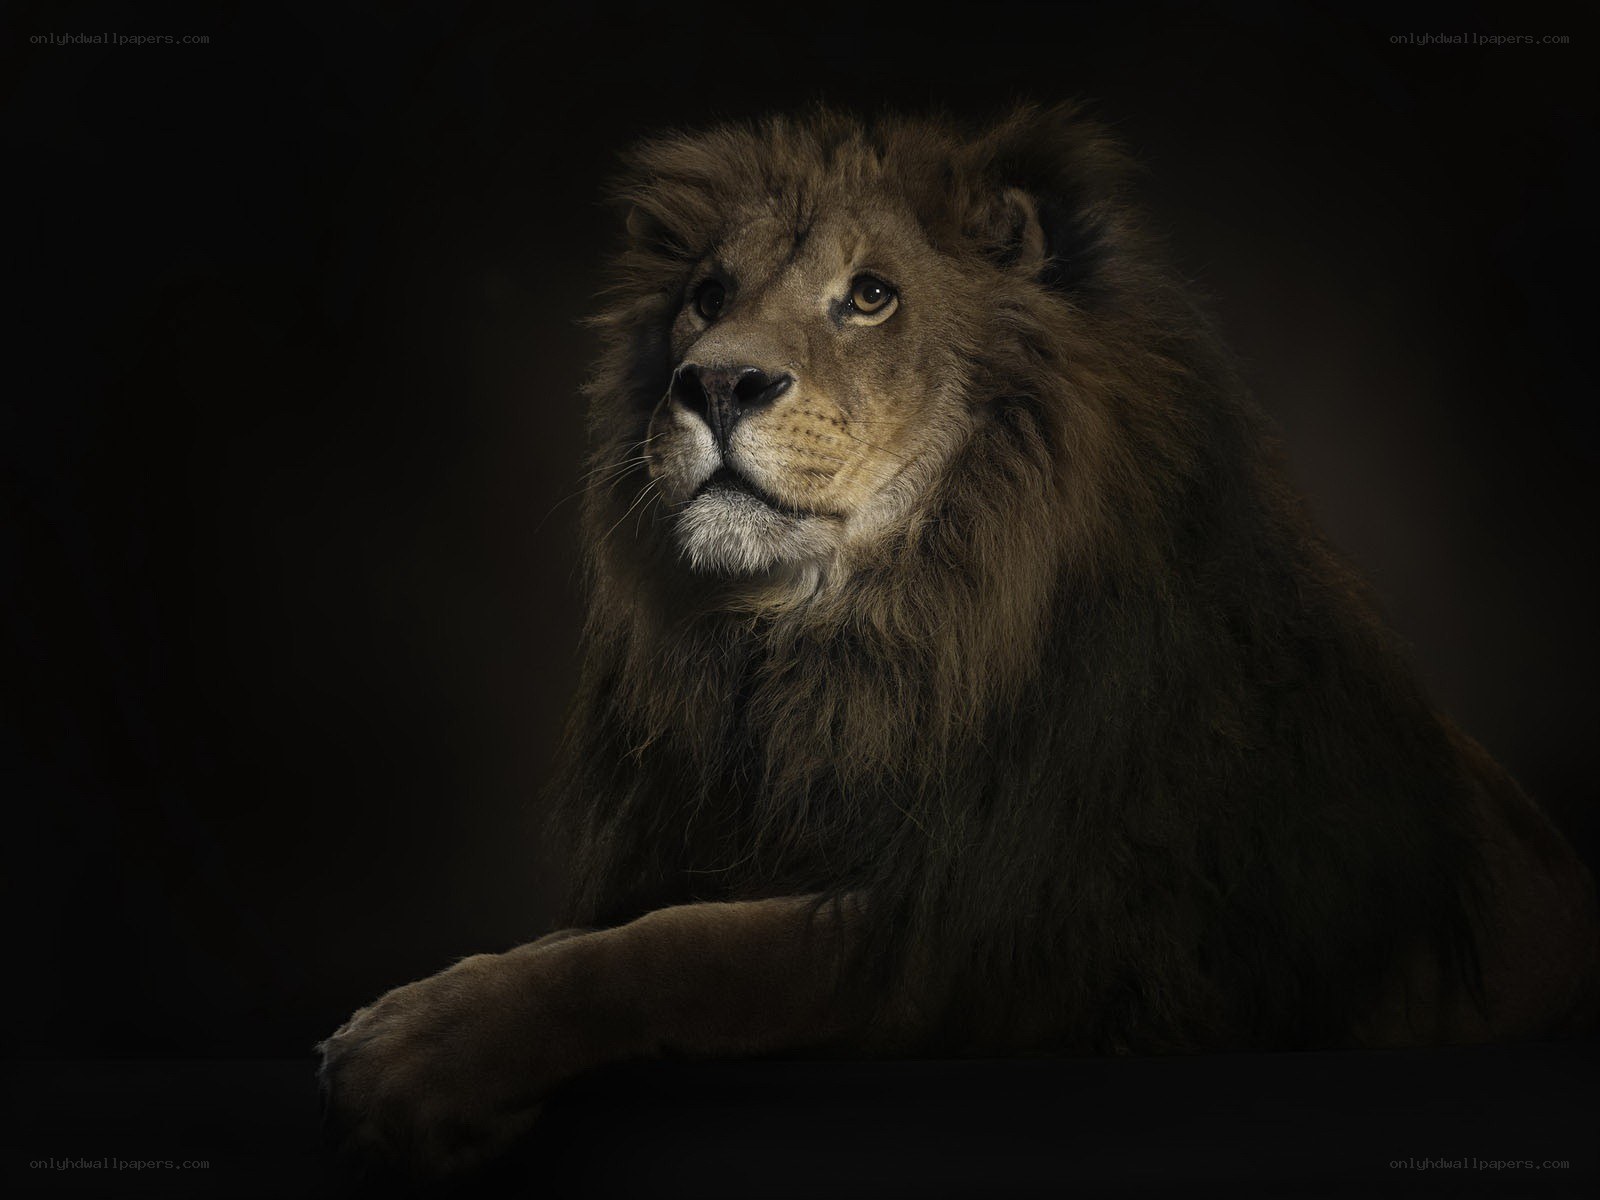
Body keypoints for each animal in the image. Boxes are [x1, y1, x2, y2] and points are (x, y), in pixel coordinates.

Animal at [318, 104, 1600, 1175]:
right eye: (706, 293)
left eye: (870, 296)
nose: (713, 382)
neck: (851, 641)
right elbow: (637, 925)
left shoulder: (1007, 933)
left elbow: (685, 950)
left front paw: (416, 1047)